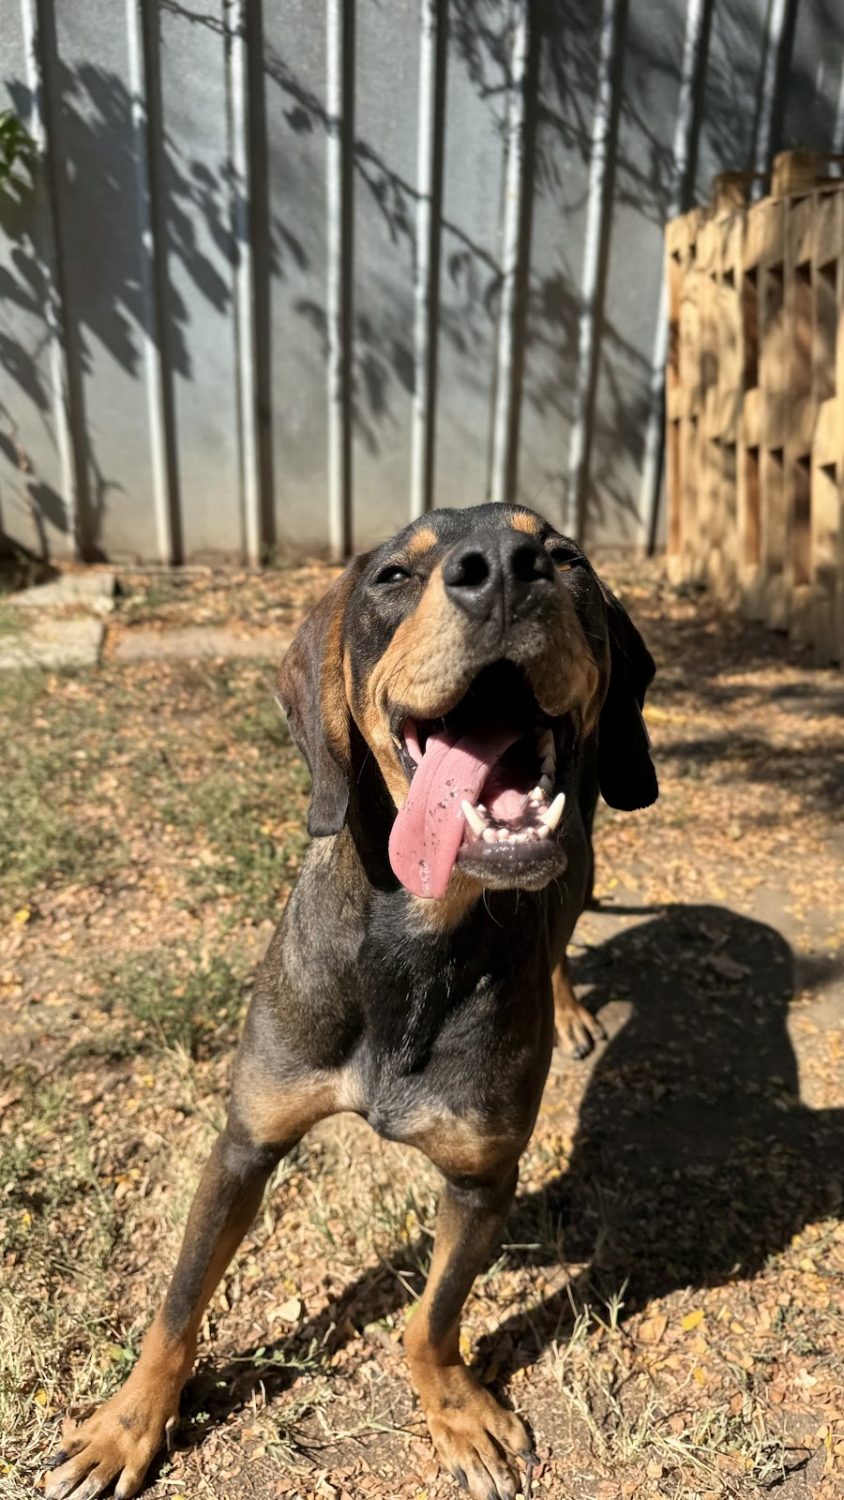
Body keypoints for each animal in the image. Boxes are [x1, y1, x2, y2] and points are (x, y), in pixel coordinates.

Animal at [46, 503, 657, 1500]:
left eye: (568, 557)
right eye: (393, 576)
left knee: (566, 928)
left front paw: (455, 1410)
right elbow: (178, 1303)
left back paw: (568, 1006)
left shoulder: (483, 1178)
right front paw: (127, 1424)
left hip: (584, 850)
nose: (508, 567)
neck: (410, 943)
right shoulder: (245, 1143)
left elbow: (433, 1317)